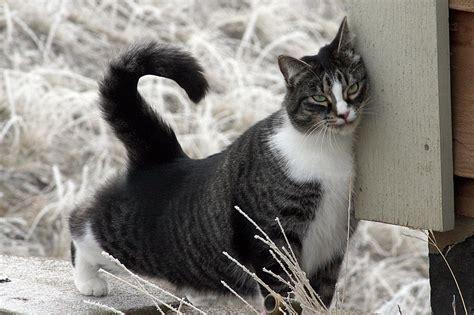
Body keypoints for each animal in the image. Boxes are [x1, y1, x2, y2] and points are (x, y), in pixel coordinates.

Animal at [68, 16, 368, 310]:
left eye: (353, 87)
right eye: (319, 97)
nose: (344, 114)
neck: (329, 149)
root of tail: (164, 158)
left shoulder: (334, 246)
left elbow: (320, 295)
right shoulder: (270, 238)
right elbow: (282, 293)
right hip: (125, 239)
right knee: (81, 223)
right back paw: (88, 280)